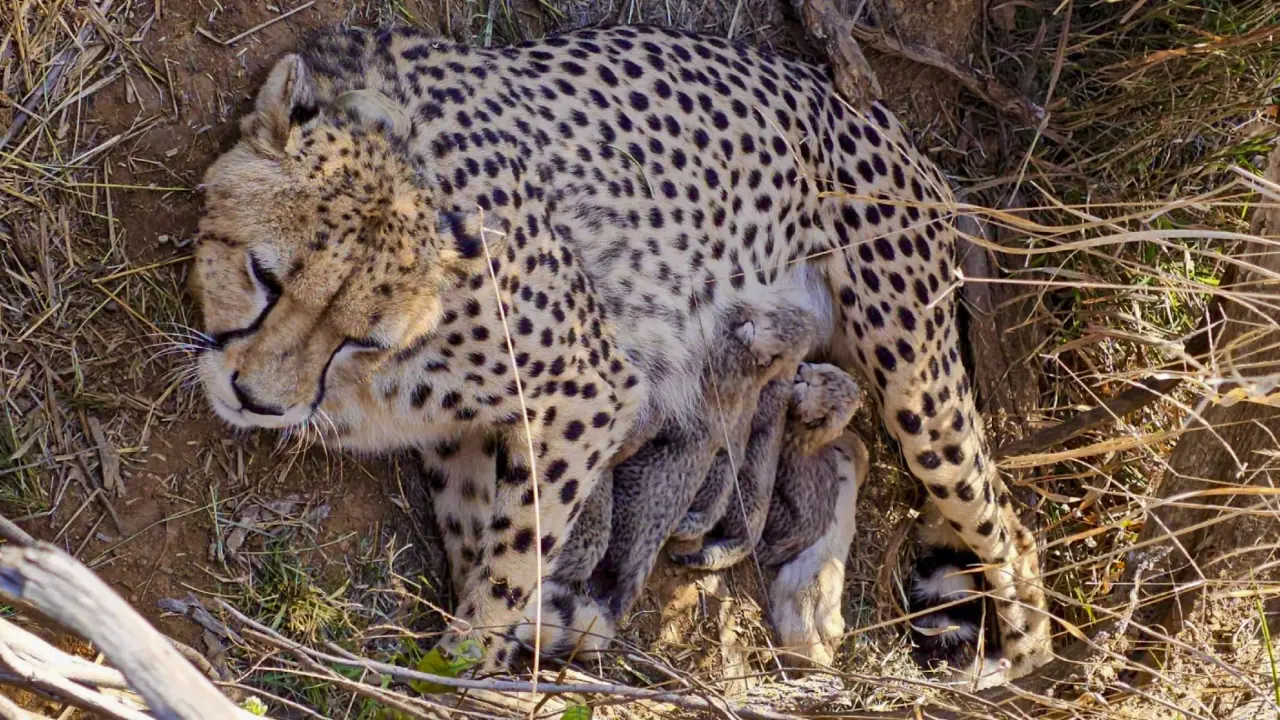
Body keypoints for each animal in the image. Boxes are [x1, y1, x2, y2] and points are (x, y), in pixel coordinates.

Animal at [191, 22, 1053, 680]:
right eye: (263, 275)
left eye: (359, 335)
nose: (256, 400)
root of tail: (871, 110)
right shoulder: (465, 433)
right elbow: (479, 539)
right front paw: (533, 628)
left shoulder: (590, 390)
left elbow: (514, 556)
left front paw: (469, 664)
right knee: (848, 448)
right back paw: (809, 603)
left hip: (916, 378)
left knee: (1010, 529)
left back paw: (1010, 659)